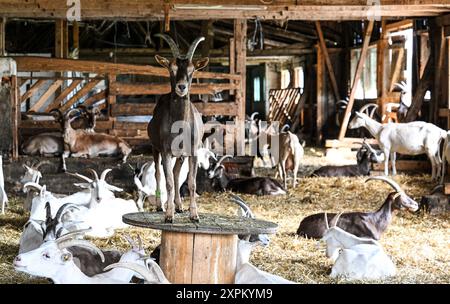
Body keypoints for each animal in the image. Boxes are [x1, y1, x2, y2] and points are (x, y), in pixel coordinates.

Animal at [149, 34, 209, 222]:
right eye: (172, 68)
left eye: (192, 69)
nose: (181, 87)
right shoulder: (166, 151)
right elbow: (167, 181)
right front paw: (169, 215)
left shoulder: (193, 151)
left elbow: (191, 182)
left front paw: (194, 214)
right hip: (155, 148)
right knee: (158, 173)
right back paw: (160, 206)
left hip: (181, 155)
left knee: (176, 173)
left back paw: (179, 206)